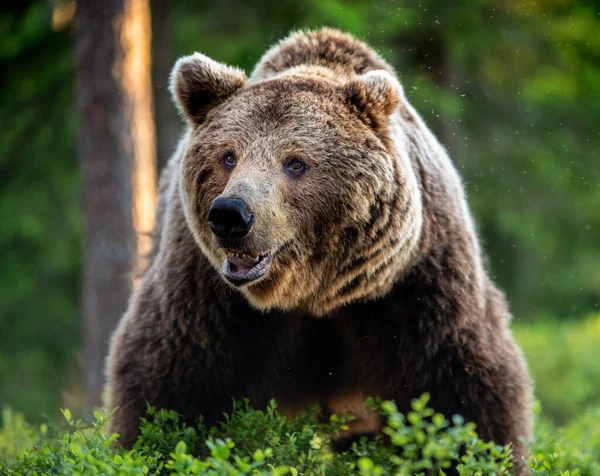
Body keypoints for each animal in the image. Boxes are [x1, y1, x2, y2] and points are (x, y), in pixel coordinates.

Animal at [105, 27, 532, 468]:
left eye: (295, 162)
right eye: (228, 155)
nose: (231, 214)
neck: (314, 294)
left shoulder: (416, 288)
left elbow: (465, 398)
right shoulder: (206, 294)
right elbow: (171, 387)